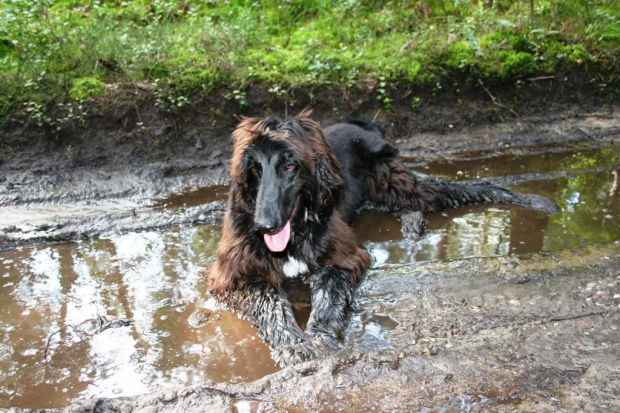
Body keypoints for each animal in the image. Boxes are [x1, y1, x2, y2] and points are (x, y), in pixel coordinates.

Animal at [206, 108, 560, 364]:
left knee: (450, 191)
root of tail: (359, 125)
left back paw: (532, 200)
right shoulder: (230, 277)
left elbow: (329, 292)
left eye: (290, 165)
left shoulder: (348, 257)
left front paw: (320, 337)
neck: (295, 233)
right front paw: (292, 343)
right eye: (254, 169)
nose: (264, 225)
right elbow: (271, 300)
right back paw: (413, 223)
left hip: (389, 179)